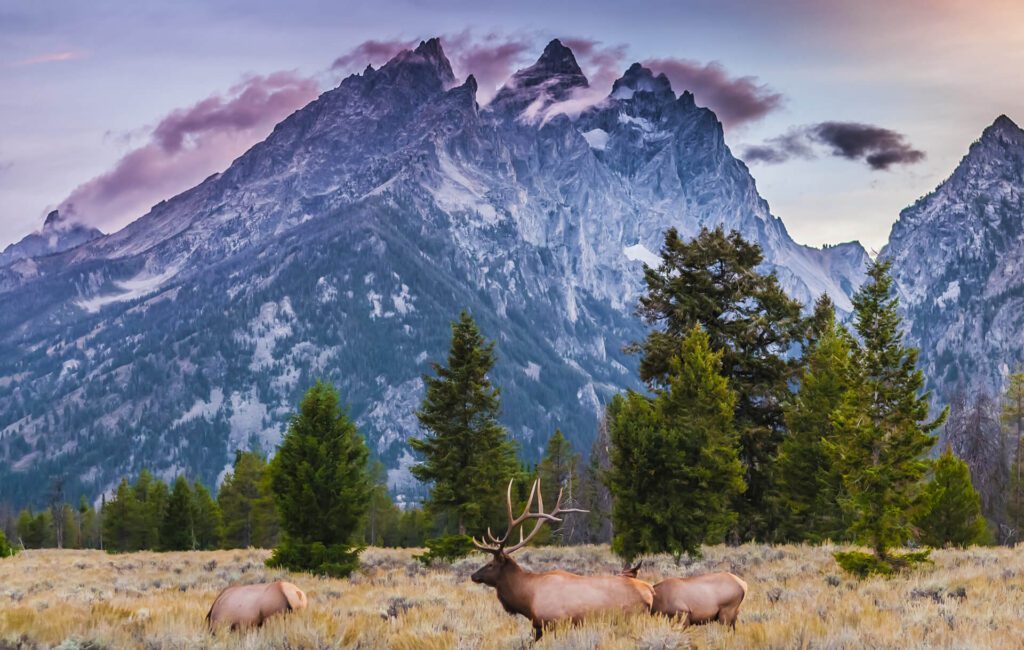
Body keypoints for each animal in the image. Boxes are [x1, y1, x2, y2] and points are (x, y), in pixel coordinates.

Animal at [470, 478, 655, 640]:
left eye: (490, 564)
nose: (473, 575)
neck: (528, 600)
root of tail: (650, 592)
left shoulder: (555, 623)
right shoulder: (539, 626)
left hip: (629, 618)